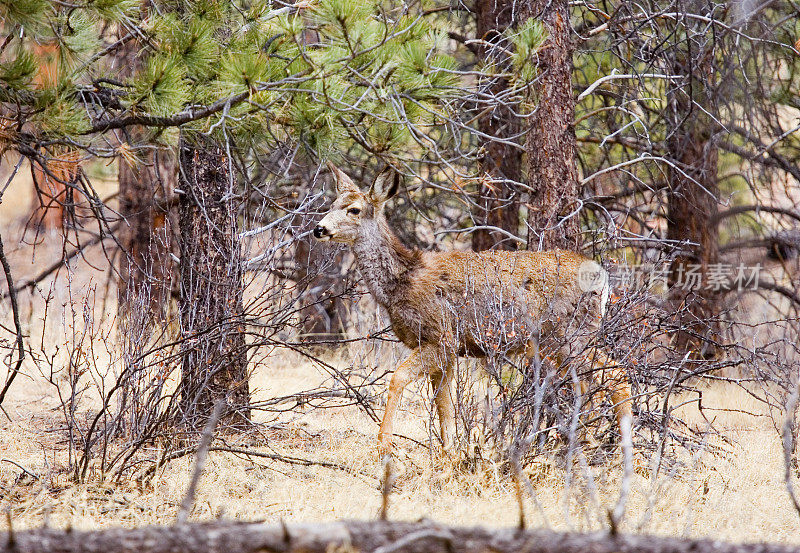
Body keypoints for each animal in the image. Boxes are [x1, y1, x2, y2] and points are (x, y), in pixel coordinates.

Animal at [312, 164, 632, 458]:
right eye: (330, 205)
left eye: (353, 209)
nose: (319, 228)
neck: (401, 282)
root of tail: (603, 278)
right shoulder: (446, 350)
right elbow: (444, 403)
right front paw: (450, 450)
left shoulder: (440, 337)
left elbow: (397, 379)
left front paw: (384, 446)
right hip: (560, 340)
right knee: (593, 381)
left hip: (570, 333)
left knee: (616, 375)